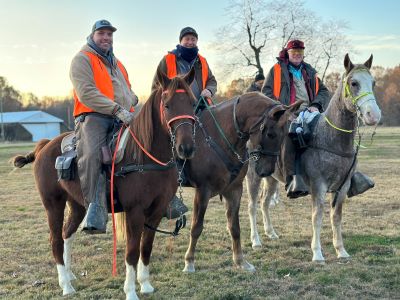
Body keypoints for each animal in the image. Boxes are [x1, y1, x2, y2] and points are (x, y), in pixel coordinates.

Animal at [13, 68, 198, 300]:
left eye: (192, 103)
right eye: (167, 105)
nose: (186, 148)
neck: (143, 156)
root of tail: (44, 146)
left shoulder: (156, 211)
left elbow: (146, 247)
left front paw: (146, 285)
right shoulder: (135, 212)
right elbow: (132, 252)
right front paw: (131, 291)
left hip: (77, 205)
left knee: (67, 234)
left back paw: (70, 274)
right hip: (53, 204)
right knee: (55, 240)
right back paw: (66, 285)